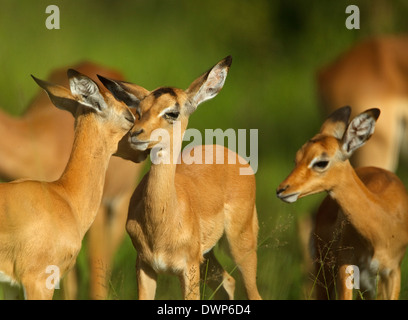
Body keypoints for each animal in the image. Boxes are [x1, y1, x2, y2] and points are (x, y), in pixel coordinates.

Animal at [100, 55, 262, 300]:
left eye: (172, 112)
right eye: (139, 110)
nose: (135, 134)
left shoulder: (188, 268)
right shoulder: (145, 267)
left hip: (240, 245)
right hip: (208, 256)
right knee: (228, 282)